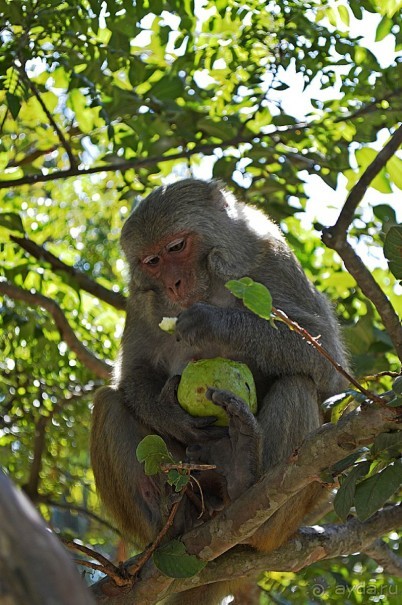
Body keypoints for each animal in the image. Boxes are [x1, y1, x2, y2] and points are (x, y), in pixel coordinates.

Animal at [89, 177, 348, 600]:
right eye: (152, 261)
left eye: (177, 247)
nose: (174, 284)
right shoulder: (141, 299)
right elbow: (132, 377)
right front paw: (171, 417)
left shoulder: (273, 259)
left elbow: (328, 367)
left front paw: (216, 323)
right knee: (109, 402)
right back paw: (170, 525)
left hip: (290, 513)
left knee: (297, 385)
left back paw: (245, 482)